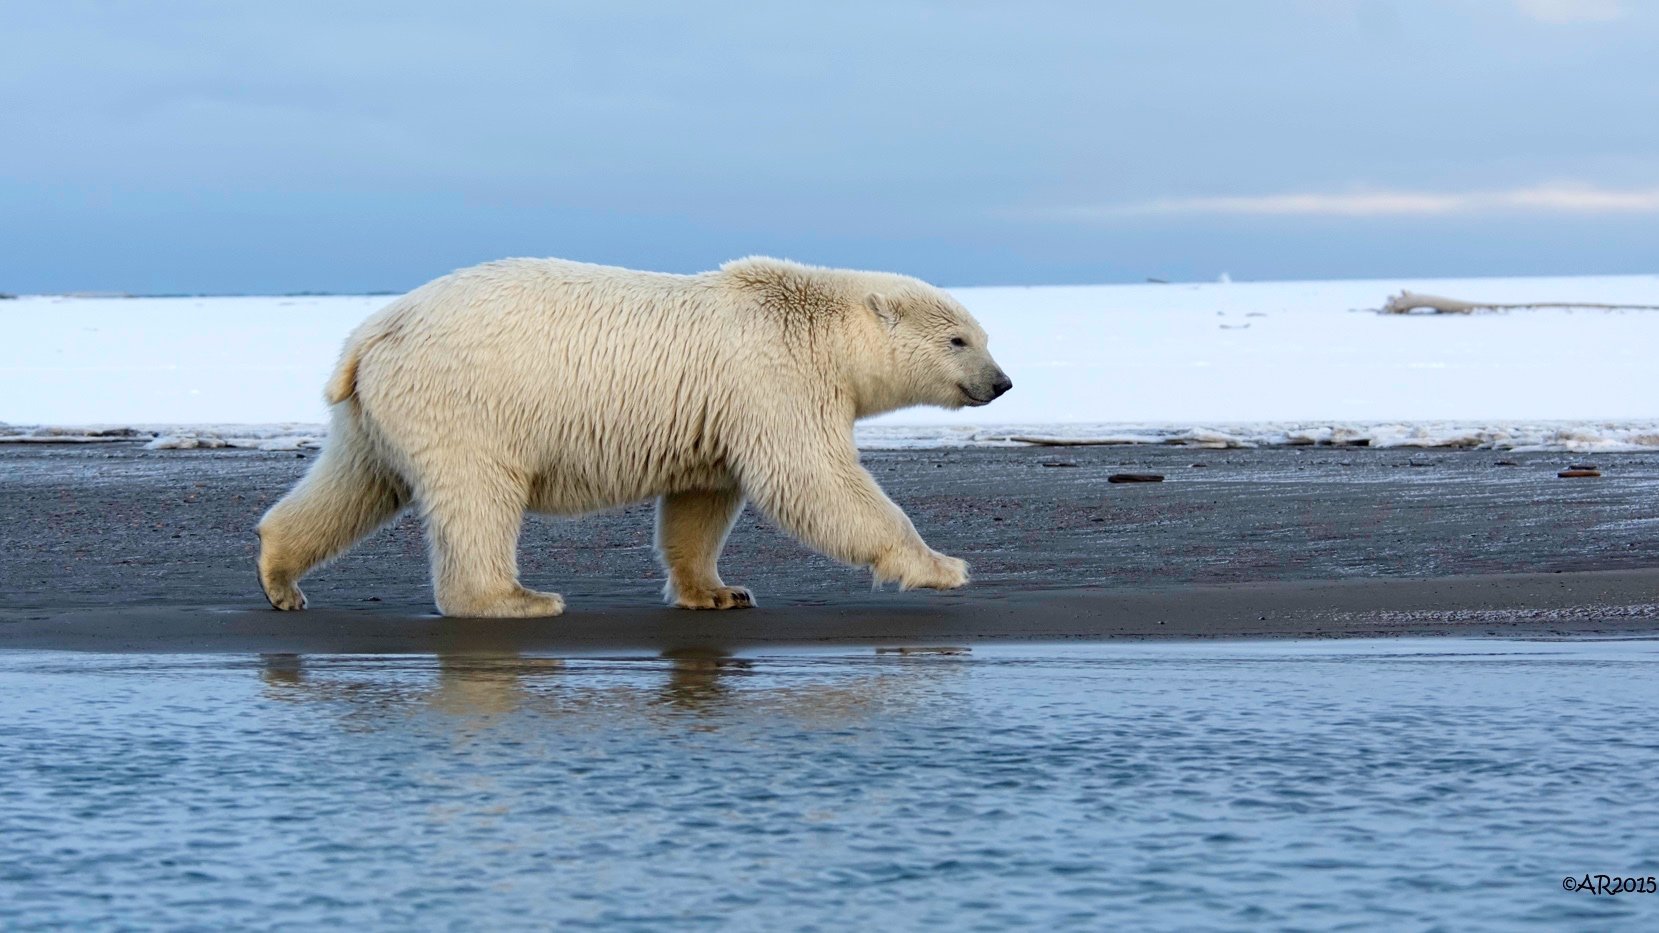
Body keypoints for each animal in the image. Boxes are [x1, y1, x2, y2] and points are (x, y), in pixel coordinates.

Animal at [255, 257, 1008, 614]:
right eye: (959, 338)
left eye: (983, 334)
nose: (1001, 382)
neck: (815, 321)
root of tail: (374, 329)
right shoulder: (775, 377)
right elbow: (814, 480)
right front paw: (942, 566)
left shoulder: (722, 408)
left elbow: (701, 504)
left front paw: (719, 591)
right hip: (466, 399)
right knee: (477, 495)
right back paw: (514, 599)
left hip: (380, 408)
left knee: (355, 480)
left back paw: (279, 574)